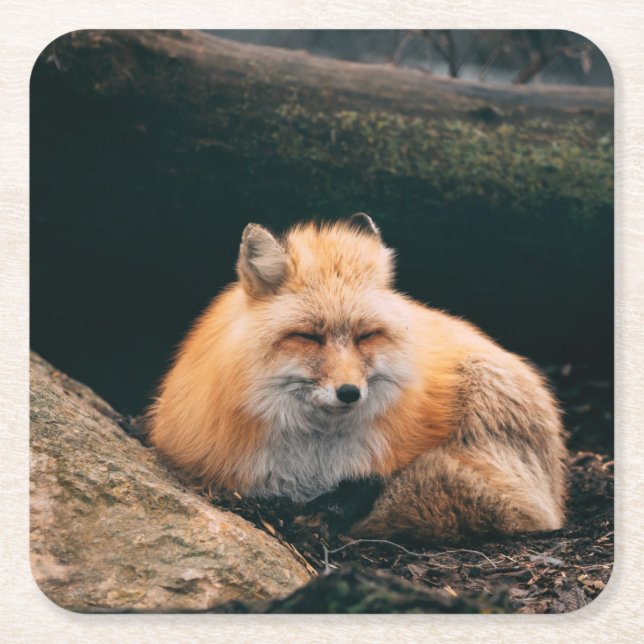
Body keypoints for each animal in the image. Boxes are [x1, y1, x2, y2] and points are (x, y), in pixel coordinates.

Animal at [148, 214, 567, 543]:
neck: (313, 460)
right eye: (308, 336)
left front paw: (329, 512)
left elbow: (366, 485)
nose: (349, 392)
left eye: (365, 335)